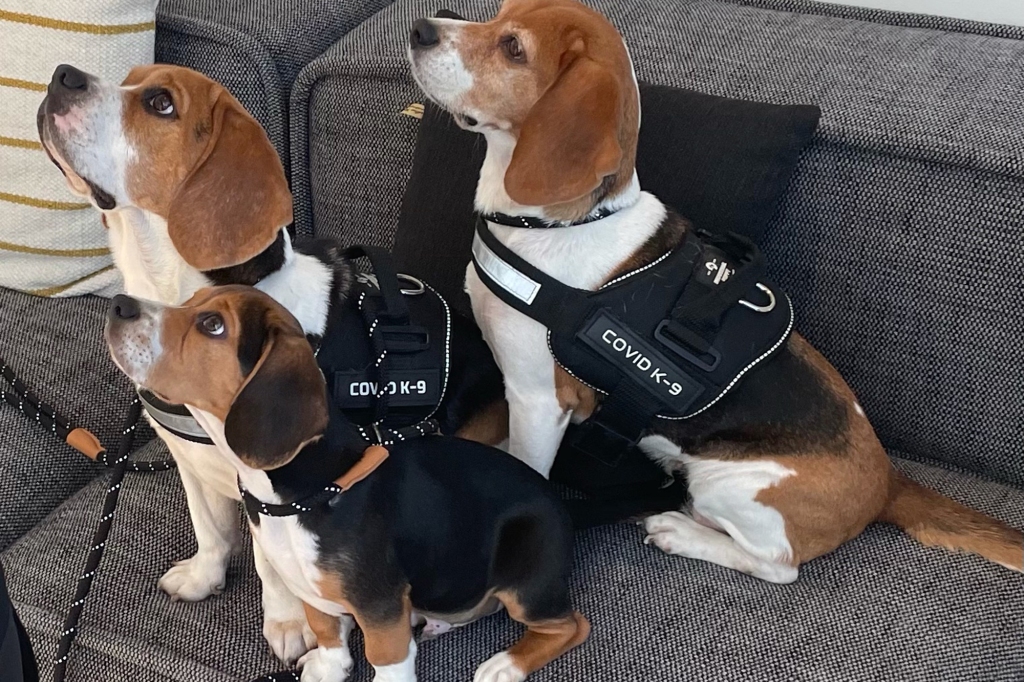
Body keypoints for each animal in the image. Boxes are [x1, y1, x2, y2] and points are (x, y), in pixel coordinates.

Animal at [37, 61, 507, 667]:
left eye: (161, 103)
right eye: (130, 78)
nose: (62, 75)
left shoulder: (271, 483)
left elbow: (271, 564)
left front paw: (289, 624)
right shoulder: (190, 461)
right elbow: (210, 530)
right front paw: (204, 577)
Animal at [107, 284, 589, 679]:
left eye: (213, 325)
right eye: (189, 301)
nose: (118, 304)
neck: (303, 495)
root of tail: (562, 505)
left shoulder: (379, 608)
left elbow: (385, 659)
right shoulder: (309, 587)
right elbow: (325, 629)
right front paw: (328, 667)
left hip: (526, 580)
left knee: (569, 625)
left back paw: (505, 665)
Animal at [407, 0, 1024, 577]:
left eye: (513, 47)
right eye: (499, 14)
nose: (420, 27)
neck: (559, 222)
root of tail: (890, 481)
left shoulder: (537, 399)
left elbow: (528, 468)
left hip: (732, 485)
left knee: (778, 564)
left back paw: (682, 531)